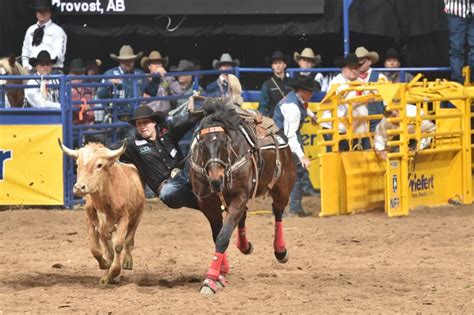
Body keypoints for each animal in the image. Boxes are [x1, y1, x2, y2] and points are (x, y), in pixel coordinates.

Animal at [190, 99, 296, 296]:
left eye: (225, 143)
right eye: (201, 144)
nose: (216, 180)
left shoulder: (240, 195)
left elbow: (222, 237)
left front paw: (210, 279)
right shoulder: (207, 204)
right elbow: (218, 235)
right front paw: (220, 274)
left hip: (282, 188)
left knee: (277, 212)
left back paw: (280, 251)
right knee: (244, 217)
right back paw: (245, 245)